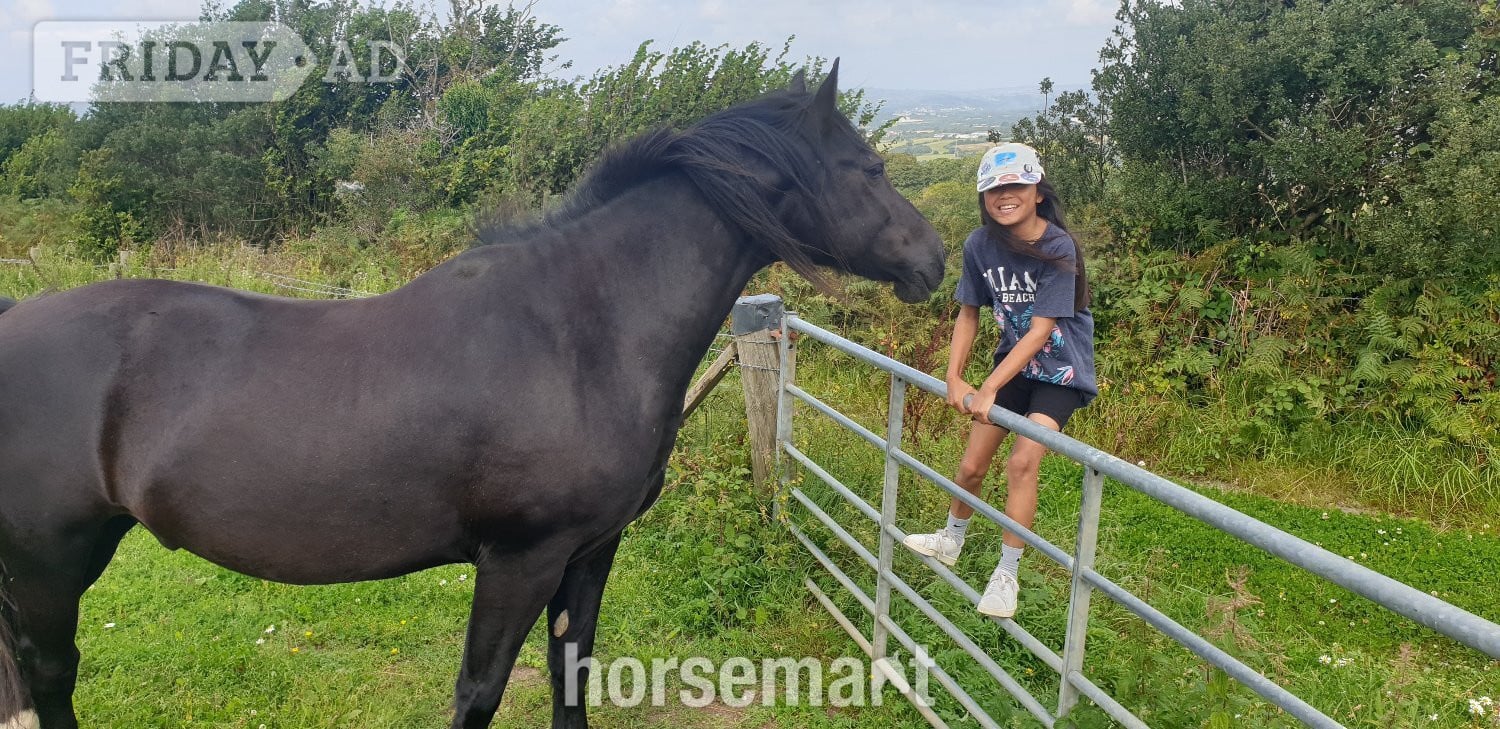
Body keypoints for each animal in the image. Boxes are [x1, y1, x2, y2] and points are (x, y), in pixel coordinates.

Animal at [0, 63, 944, 729]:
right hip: (48, 561)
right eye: (866, 165)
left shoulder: (589, 552)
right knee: (49, 673)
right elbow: (481, 690)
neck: (580, 332)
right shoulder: (519, 558)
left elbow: (572, 673)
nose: (933, 257)